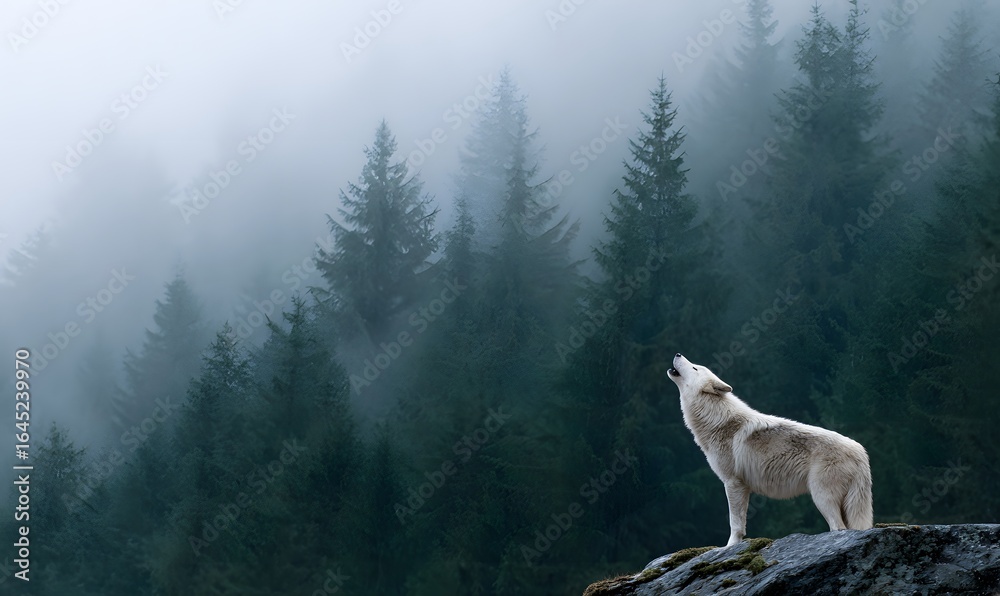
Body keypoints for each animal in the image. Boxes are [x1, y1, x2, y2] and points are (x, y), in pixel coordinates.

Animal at [667, 353, 873, 547]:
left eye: (695, 367)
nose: (678, 354)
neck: (716, 419)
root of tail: (861, 452)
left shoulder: (733, 483)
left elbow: (735, 523)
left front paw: (729, 547)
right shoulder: (743, 487)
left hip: (822, 498)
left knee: (839, 527)